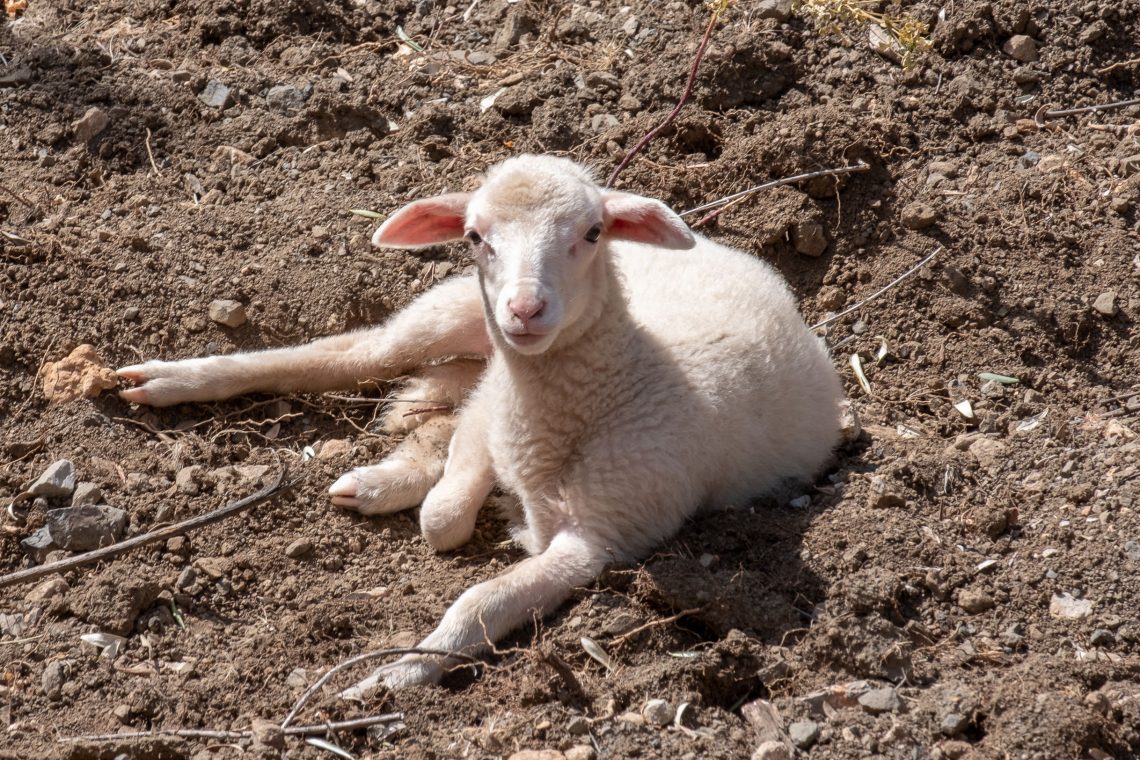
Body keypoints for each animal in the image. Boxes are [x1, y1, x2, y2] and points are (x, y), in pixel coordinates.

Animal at [117, 157, 848, 692]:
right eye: (474, 235)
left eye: (591, 233)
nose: (525, 310)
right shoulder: (496, 407)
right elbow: (445, 512)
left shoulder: (606, 533)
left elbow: (480, 598)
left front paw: (396, 673)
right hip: (446, 311)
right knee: (352, 354)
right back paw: (171, 380)